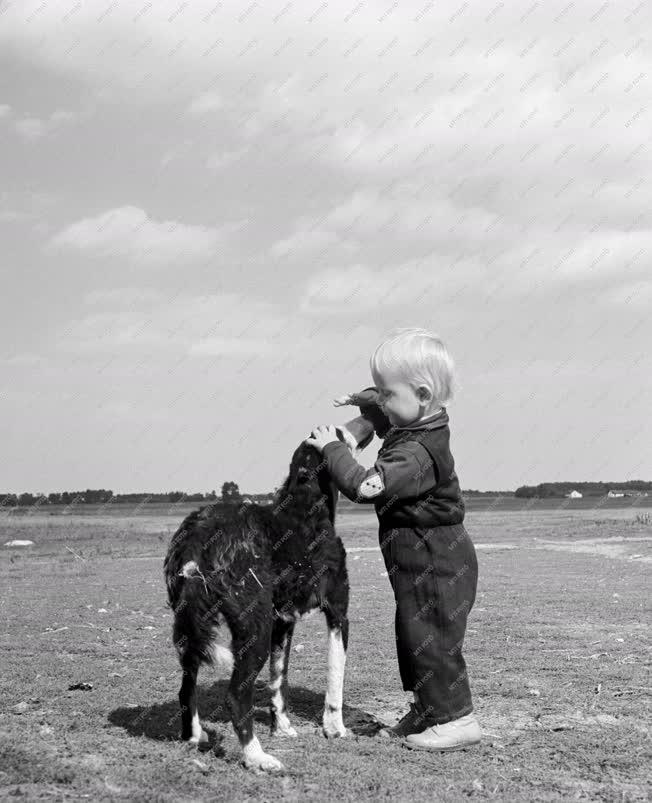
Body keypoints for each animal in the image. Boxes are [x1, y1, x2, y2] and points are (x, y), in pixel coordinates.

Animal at [161, 428, 360, 772]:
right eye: (335, 433)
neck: (304, 500)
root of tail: (199, 533)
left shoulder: (283, 623)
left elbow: (279, 682)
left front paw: (282, 727)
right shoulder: (338, 614)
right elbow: (336, 678)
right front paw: (335, 728)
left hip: (193, 631)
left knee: (185, 690)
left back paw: (195, 736)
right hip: (255, 628)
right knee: (235, 696)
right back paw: (256, 757)